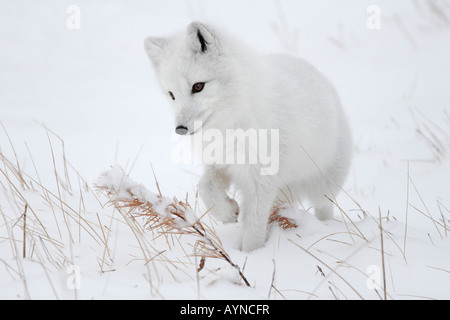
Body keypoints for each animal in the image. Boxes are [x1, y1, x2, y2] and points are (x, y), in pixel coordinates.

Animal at [144, 22, 352, 252]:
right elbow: (205, 187)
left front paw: (250, 255)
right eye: (171, 94)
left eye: (198, 86)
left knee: (324, 207)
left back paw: (325, 229)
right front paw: (227, 213)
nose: (180, 128)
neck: (231, 122)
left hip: (322, 187)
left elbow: (253, 227)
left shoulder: (261, 180)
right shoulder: (221, 163)